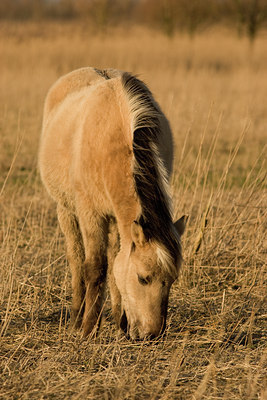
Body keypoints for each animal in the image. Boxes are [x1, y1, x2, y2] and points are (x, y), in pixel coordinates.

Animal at [39, 67, 186, 340]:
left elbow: (117, 263)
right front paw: (88, 329)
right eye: (143, 278)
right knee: (77, 260)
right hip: (66, 211)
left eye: (172, 280)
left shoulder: (120, 217)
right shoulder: (90, 215)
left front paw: (120, 324)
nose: (152, 334)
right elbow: (95, 268)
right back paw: (76, 317)